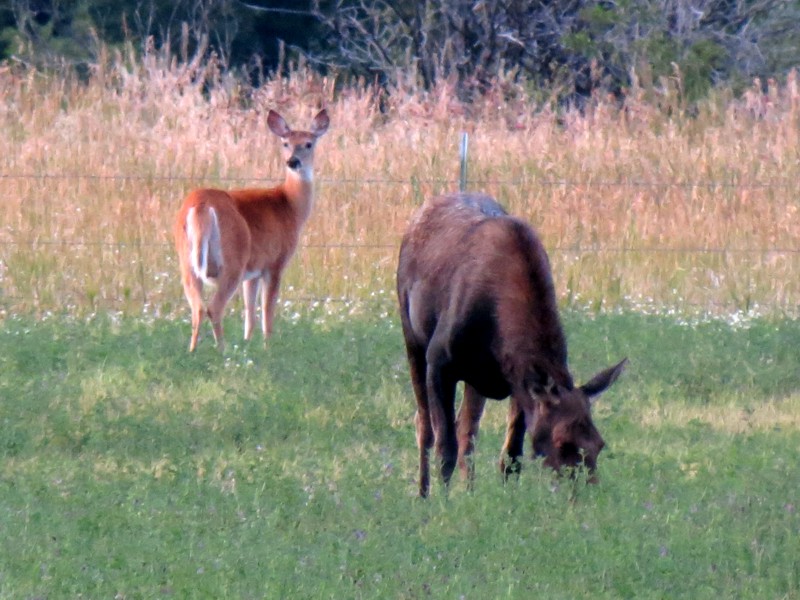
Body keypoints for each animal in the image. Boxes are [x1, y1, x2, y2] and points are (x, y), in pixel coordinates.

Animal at [173, 110, 330, 350]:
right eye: (285, 143)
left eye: (308, 143)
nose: (292, 161)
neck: (290, 205)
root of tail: (201, 206)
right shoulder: (274, 263)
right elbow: (266, 310)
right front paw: (268, 346)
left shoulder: (252, 271)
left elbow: (249, 313)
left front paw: (248, 342)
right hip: (233, 258)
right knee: (214, 308)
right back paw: (222, 350)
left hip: (186, 261)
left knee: (197, 308)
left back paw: (193, 351)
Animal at [396, 192, 628, 496]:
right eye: (562, 442)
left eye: (599, 444)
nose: (586, 494)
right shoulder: (440, 362)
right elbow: (444, 448)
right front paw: (443, 503)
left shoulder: (517, 381)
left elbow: (511, 456)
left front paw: (508, 500)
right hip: (412, 336)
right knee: (425, 426)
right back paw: (423, 494)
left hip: (474, 378)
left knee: (467, 430)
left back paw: (469, 493)